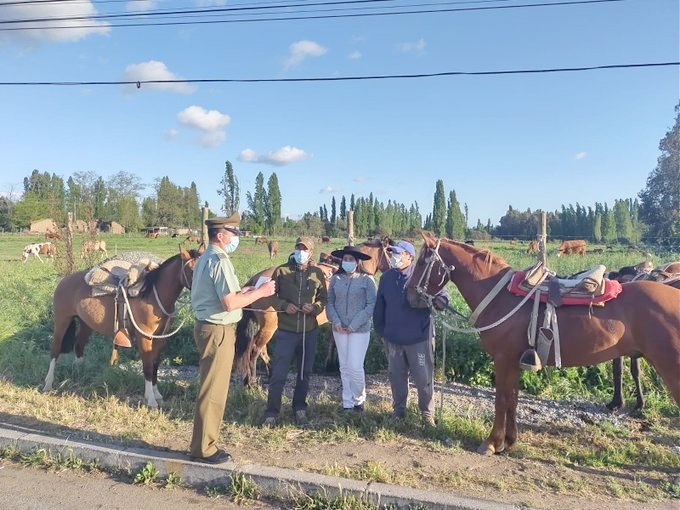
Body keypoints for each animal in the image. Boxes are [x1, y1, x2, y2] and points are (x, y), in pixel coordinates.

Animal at [41, 245, 202, 408]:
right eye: (192, 270)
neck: (152, 295)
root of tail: (64, 281)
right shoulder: (144, 337)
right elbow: (148, 367)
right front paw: (151, 399)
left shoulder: (159, 339)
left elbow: (155, 365)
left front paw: (157, 395)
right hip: (62, 321)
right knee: (55, 350)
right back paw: (48, 383)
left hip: (86, 324)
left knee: (78, 346)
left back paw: (81, 374)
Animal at [235, 239, 390, 386]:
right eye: (390, 250)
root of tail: (255, 280)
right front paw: (332, 364)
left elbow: (332, 340)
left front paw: (330, 364)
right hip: (269, 326)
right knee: (255, 348)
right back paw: (251, 381)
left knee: (261, 349)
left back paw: (269, 373)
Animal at [406, 231, 676, 454]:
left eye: (422, 262)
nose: (408, 294)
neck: (500, 296)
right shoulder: (515, 361)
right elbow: (512, 399)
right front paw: (509, 441)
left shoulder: (503, 359)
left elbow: (501, 400)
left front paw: (492, 443)